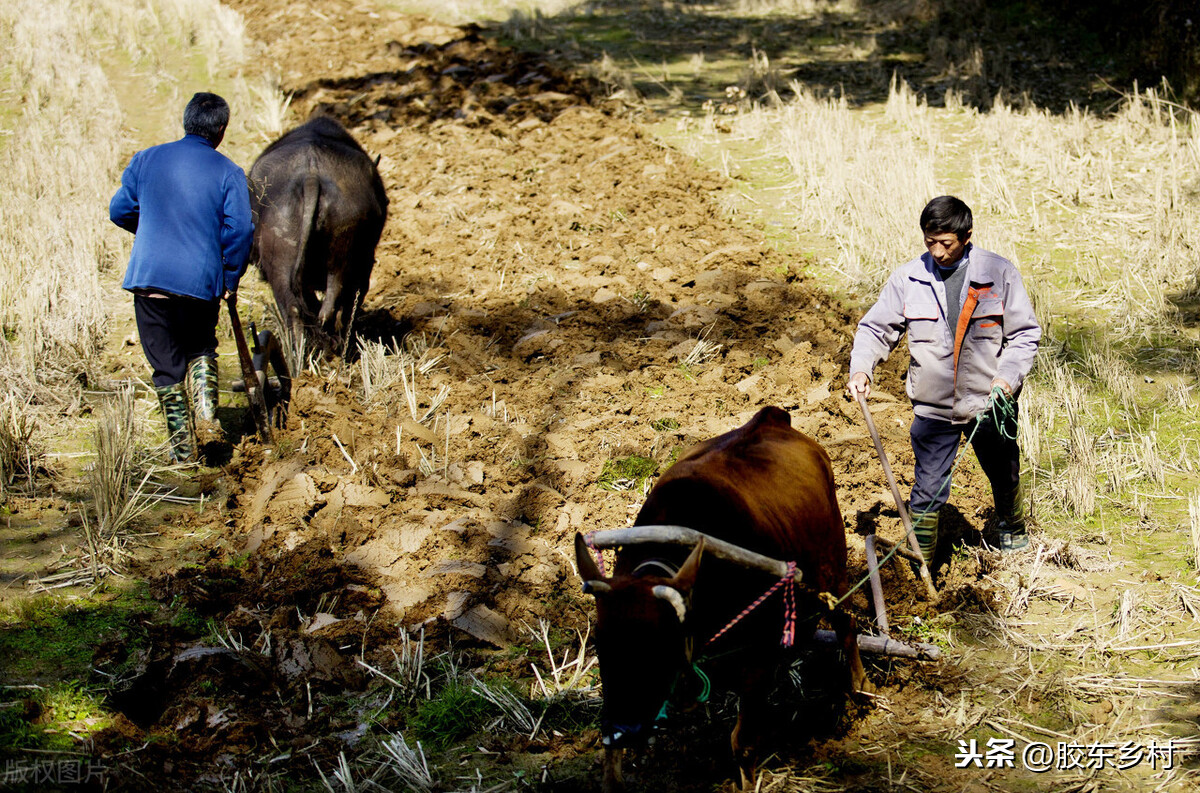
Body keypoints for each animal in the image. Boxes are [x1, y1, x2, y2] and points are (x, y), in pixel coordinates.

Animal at [576, 405, 868, 791]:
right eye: (600, 646)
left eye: (660, 647)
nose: (626, 730)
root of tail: (772, 417)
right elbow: (611, 763)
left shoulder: (758, 652)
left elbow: (742, 741)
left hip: (830, 564)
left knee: (845, 623)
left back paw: (860, 686)